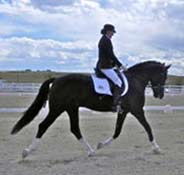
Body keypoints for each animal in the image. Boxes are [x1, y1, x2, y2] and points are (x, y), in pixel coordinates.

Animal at [11, 60, 170, 158]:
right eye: (163, 75)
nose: (160, 95)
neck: (135, 82)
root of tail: (56, 79)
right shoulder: (137, 110)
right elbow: (147, 127)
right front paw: (156, 148)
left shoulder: (124, 111)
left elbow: (117, 132)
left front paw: (100, 145)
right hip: (57, 109)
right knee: (43, 126)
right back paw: (27, 151)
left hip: (71, 108)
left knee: (75, 129)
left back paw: (91, 151)